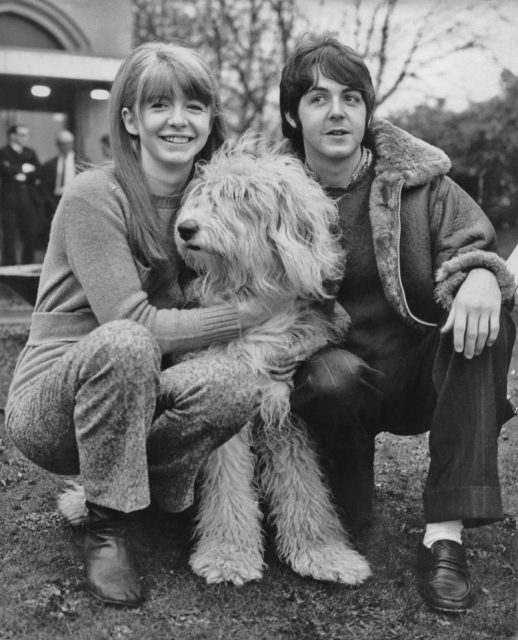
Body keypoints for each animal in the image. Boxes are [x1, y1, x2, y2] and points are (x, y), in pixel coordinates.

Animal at [59, 140, 372, 592]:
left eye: (241, 198)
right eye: (204, 196)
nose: (186, 229)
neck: (245, 290)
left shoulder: (283, 407)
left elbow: (304, 484)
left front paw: (323, 553)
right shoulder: (234, 405)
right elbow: (227, 487)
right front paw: (228, 555)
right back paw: (82, 504)